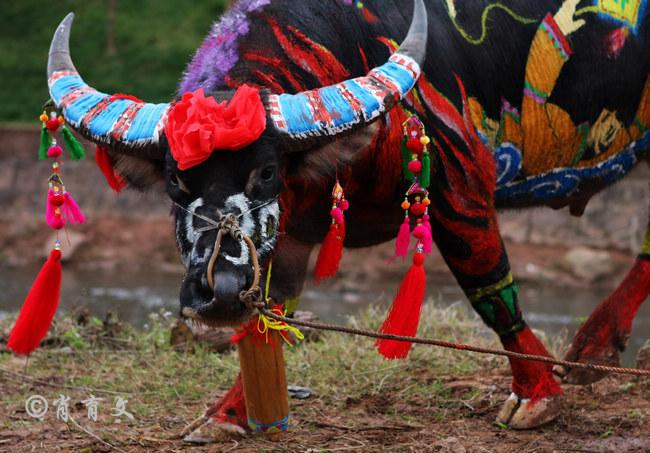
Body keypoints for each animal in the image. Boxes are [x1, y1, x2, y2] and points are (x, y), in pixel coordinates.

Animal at [43, 0, 644, 436]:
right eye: (174, 178)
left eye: (266, 171)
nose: (218, 291)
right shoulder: (288, 238)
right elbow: (272, 311)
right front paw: (231, 412)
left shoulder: (459, 179)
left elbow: (490, 287)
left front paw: (537, 393)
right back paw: (595, 348)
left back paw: (590, 347)